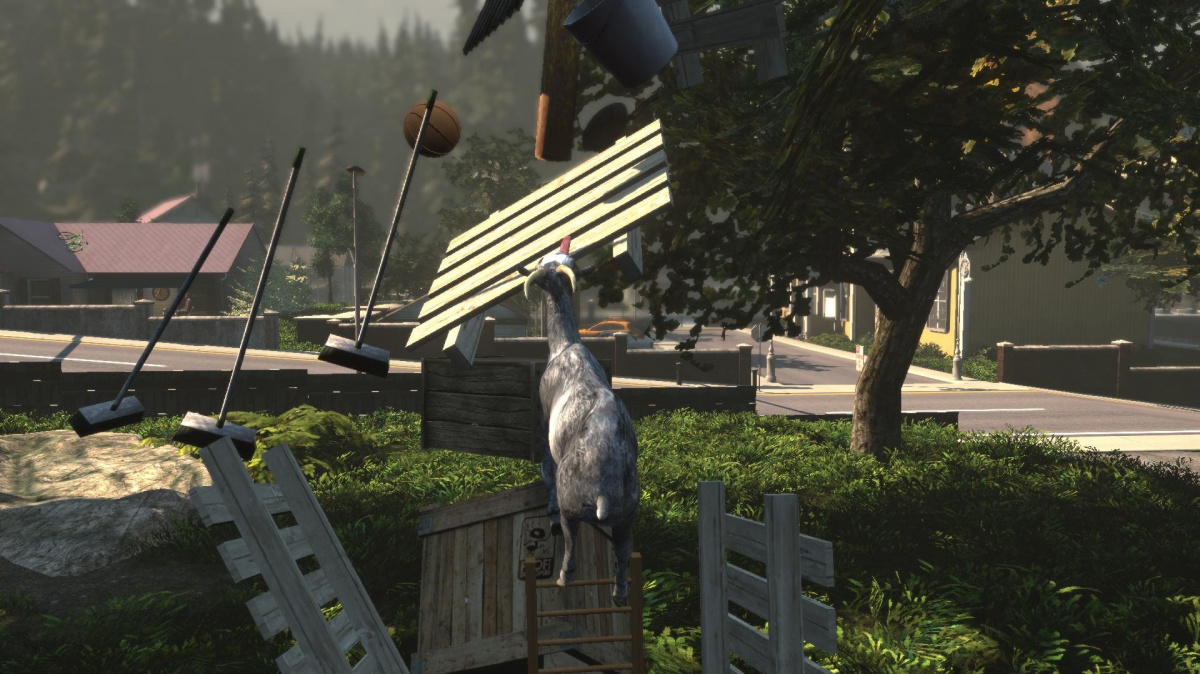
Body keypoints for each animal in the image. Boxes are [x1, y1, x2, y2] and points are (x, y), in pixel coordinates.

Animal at [522, 237, 641, 604]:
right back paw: (619, 594)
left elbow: (545, 466)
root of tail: (602, 491)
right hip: (628, 513)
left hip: (571, 506)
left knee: (571, 542)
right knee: (623, 551)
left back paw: (563, 579)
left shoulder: (544, 415)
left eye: (545, 264)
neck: (566, 346)